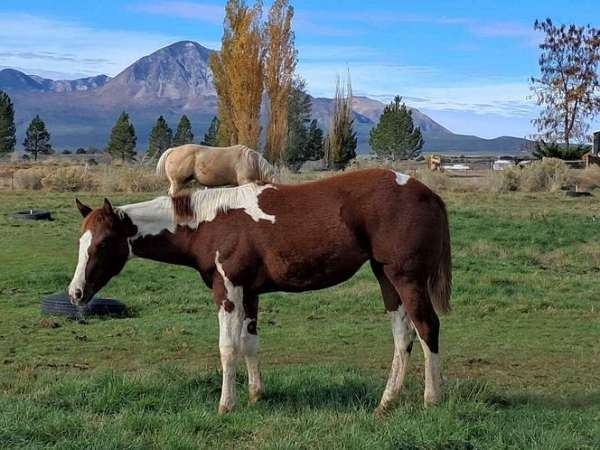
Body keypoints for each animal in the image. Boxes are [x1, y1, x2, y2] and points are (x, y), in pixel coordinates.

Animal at [68, 169, 450, 414]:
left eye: (102, 244)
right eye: (81, 242)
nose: (76, 293)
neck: (209, 223)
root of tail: (429, 194)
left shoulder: (228, 291)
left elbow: (228, 348)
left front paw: (226, 405)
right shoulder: (249, 294)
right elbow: (250, 344)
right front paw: (256, 395)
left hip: (406, 278)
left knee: (427, 328)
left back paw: (431, 400)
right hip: (386, 278)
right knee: (403, 336)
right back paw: (386, 402)